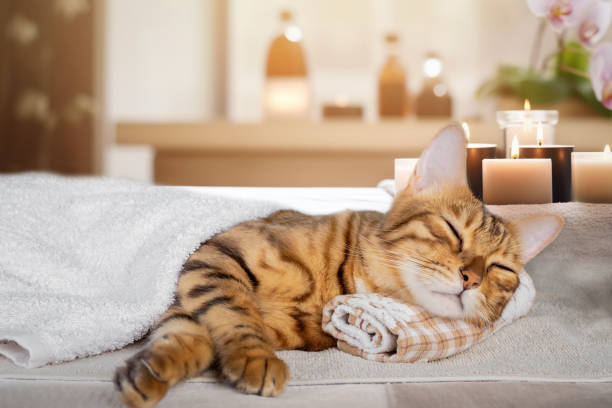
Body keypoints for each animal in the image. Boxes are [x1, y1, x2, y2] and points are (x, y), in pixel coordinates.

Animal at [113, 125, 564, 408]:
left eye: (501, 270)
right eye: (453, 231)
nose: (471, 278)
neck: (339, 282)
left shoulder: (207, 285)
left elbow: (196, 332)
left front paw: (155, 368)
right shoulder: (217, 255)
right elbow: (228, 316)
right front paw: (251, 356)